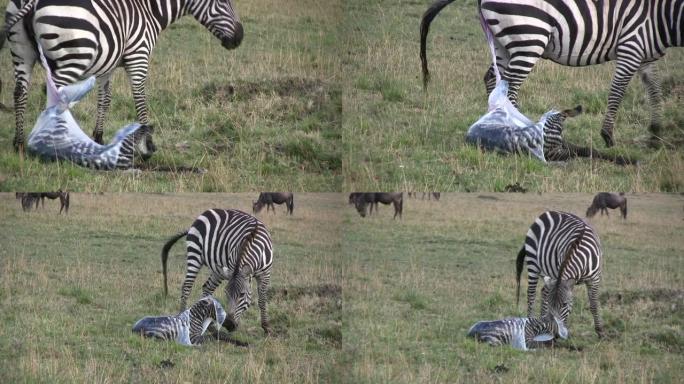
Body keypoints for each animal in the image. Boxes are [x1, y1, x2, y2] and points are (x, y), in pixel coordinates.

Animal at [1, 0, 243, 153]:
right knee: (52, 96)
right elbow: (140, 99)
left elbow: (104, 99)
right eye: (222, 1)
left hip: (21, 52)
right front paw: (147, 144)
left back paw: (19, 144)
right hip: (72, 57)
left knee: (20, 93)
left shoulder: (106, 65)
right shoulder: (138, 56)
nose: (240, 37)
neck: (149, 10)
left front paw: (97, 138)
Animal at [422, 0, 684, 147]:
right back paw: (518, 130)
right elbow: (617, 91)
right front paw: (608, 136)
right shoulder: (632, 43)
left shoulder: (646, 53)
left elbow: (654, 89)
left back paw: (496, 123)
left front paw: (655, 133)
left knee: (493, 79)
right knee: (511, 86)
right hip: (529, 36)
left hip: (501, 42)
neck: (663, 14)